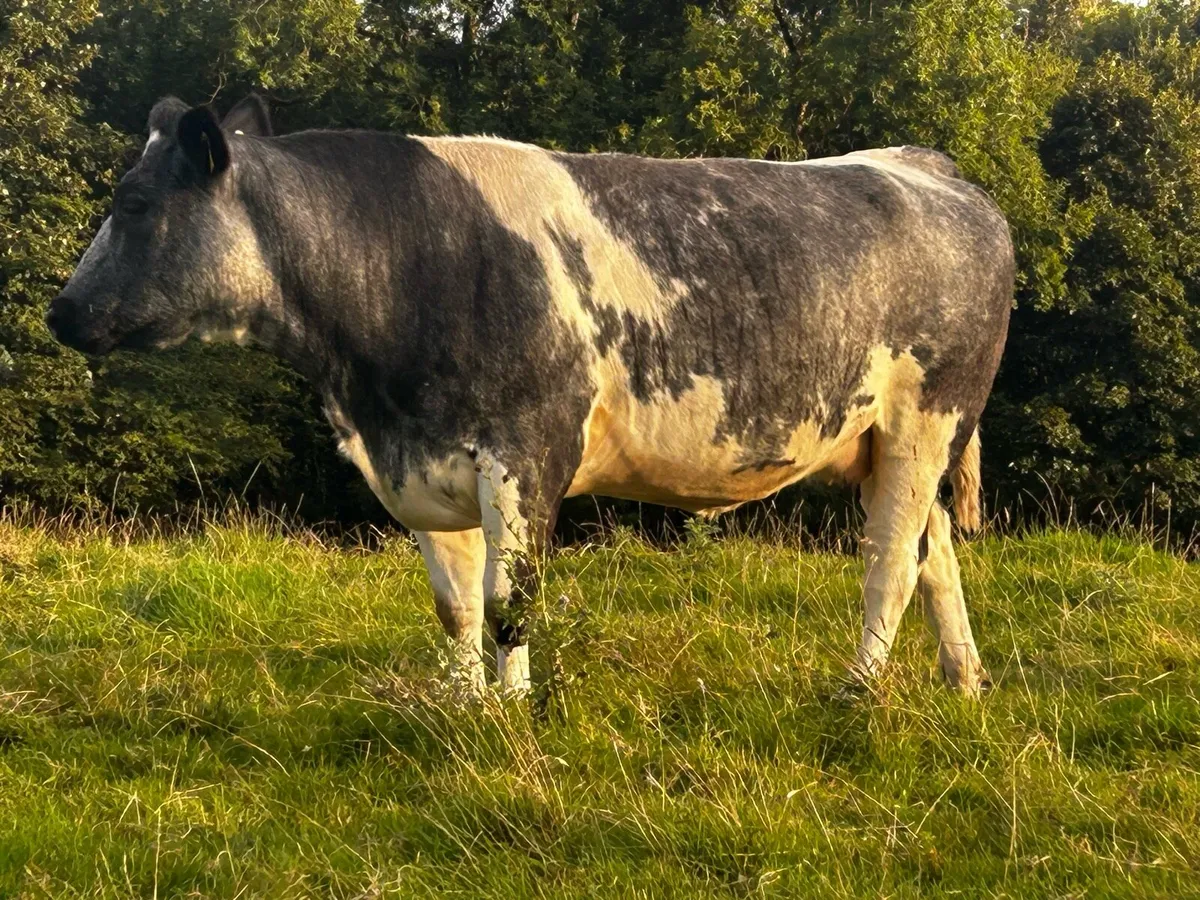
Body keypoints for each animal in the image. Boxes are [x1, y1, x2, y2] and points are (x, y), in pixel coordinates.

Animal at [47, 95, 1013, 697]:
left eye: (132, 203)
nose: (60, 312)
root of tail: (925, 166)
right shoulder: (425, 464)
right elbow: (456, 606)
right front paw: (461, 704)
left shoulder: (529, 448)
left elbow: (511, 603)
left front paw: (510, 715)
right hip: (888, 443)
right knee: (934, 556)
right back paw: (964, 682)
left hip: (927, 418)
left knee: (890, 564)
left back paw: (856, 691)